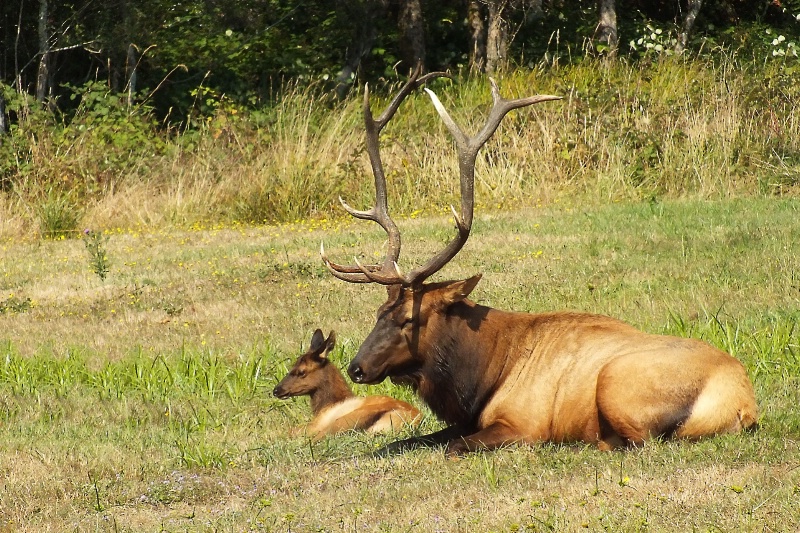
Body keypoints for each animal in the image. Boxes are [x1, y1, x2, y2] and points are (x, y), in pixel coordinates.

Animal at [274, 328, 422, 440]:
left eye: (301, 372)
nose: (276, 390)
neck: (325, 405)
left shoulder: (318, 423)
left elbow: (292, 430)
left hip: (347, 420)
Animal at [318, 67, 756, 454]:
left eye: (410, 319)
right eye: (379, 312)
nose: (357, 367)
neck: (480, 379)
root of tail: (745, 405)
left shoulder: (522, 423)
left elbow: (455, 446)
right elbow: (406, 440)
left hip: (615, 382)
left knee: (638, 441)